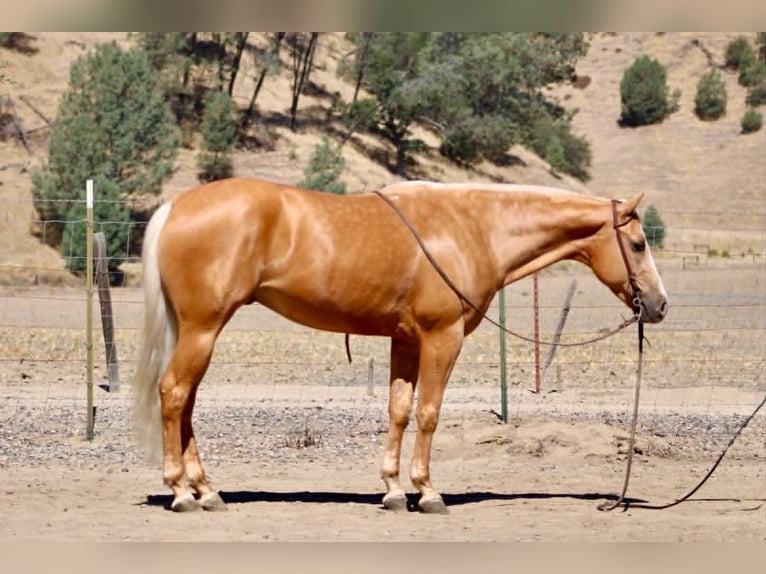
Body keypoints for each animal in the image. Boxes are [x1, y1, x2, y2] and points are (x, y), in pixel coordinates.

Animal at [132, 177, 668, 513]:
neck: (472, 227)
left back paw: (207, 490)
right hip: (203, 329)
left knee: (186, 403)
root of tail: (175, 207)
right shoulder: (441, 338)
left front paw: (391, 489)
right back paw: (182, 492)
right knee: (174, 394)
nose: (659, 305)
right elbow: (429, 412)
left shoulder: (405, 342)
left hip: (196, 331)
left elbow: (399, 410)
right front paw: (427, 492)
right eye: (638, 244)